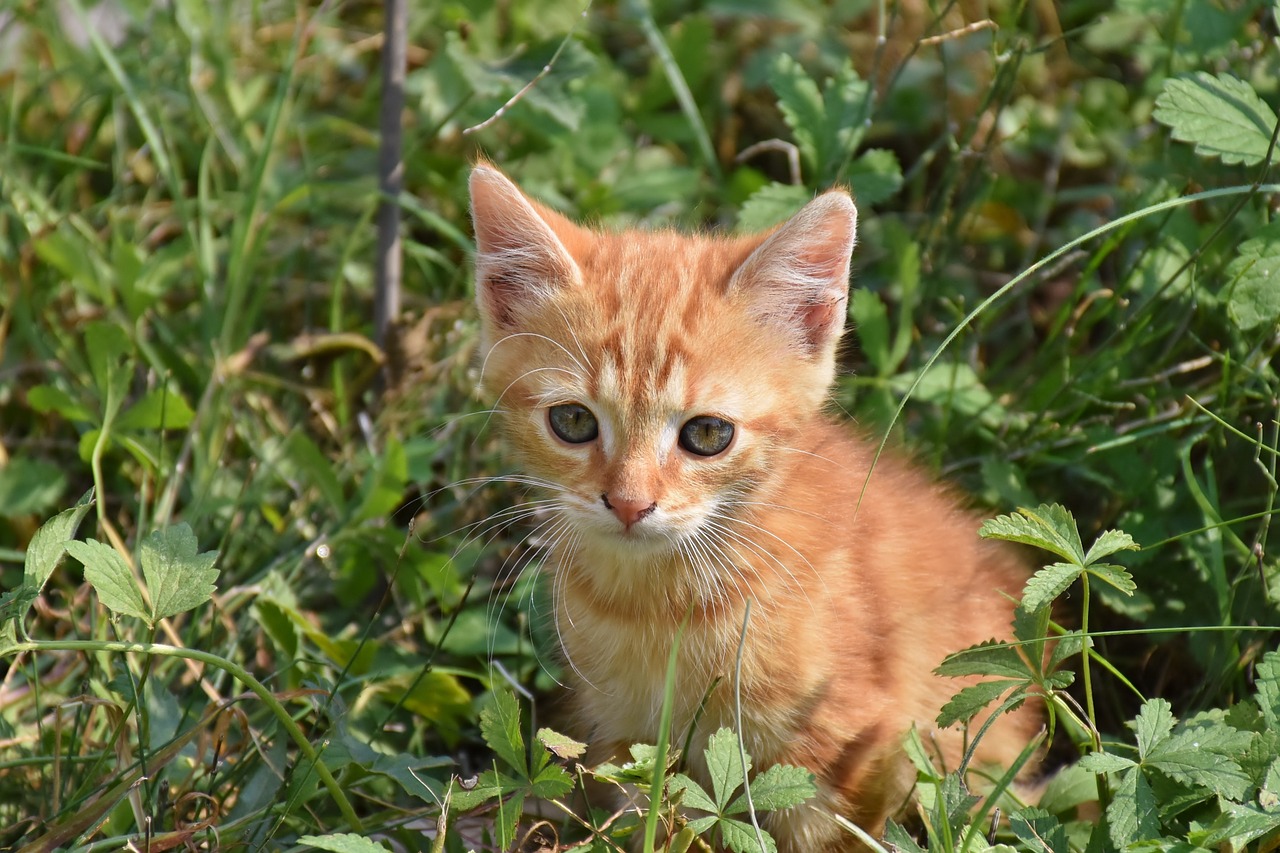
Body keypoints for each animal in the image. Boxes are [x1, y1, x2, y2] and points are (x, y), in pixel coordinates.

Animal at [471, 162, 1039, 845]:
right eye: (574, 421)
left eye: (708, 434)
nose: (629, 504)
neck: (658, 605)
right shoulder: (625, 738)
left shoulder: (846, 745)